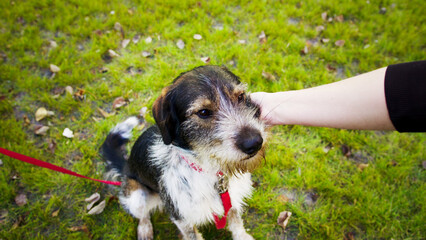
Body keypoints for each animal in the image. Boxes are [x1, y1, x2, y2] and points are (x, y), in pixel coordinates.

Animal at [101, 64, 266, 239]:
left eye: (240, 96)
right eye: (203, 112)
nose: (254, 143)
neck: (210, 169)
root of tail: (126, 166)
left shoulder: (231, 199)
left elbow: (236, 221)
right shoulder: (181, 216)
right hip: (136, 196)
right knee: (142, 214)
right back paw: (145, 229)